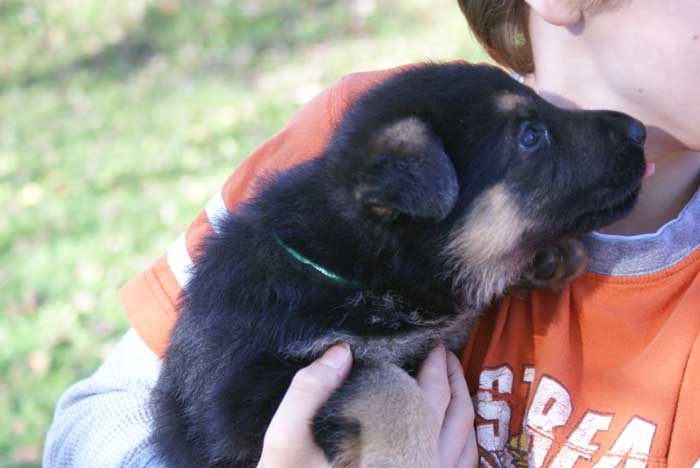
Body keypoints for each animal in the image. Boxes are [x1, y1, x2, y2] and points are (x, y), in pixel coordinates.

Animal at [150, 63, 648, 468]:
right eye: (530, 135)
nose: (640, 130)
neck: (357, 266)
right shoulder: (248, 399)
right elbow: (386, 383)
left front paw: (551, 256)